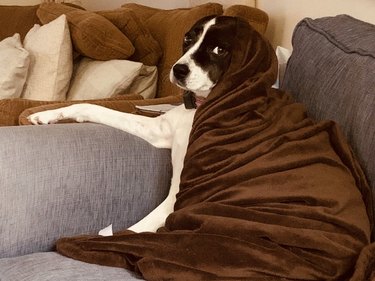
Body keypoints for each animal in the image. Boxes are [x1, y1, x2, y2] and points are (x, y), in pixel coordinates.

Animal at [27, 16, 236, 233]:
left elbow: (133, 229)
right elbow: (91, 107)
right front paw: (48, 114)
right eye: (188, 38)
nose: (178, 70)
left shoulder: (179, 197)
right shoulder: (157, 130)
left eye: (219, 49)